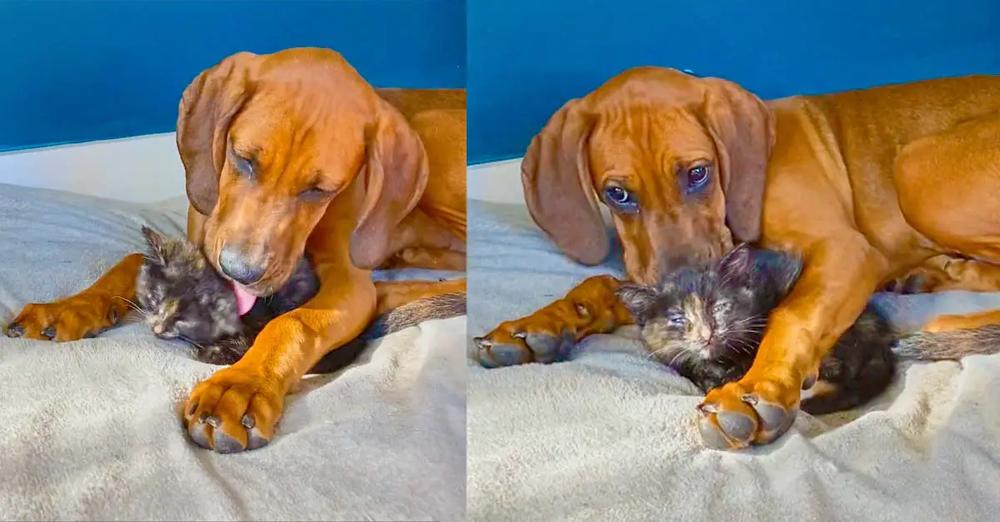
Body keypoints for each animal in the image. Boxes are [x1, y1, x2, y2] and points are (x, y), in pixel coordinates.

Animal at [5, 48, 466, 450]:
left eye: (319, 191)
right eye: (243, 159)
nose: (239, 272)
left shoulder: (348, 284)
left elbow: (294, 322)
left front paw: (240, 387)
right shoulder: (197, 244)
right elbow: (133, 261)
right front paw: (71, 306)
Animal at [476, 65, 1000, 446]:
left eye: (699, 173)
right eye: (618, 194)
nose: (682, 291)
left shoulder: (845, 251)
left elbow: (792, 315)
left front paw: (753, 391)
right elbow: (599, 286)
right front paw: (538, 326)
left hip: (916, 168)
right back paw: (930, 275)